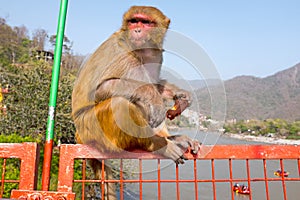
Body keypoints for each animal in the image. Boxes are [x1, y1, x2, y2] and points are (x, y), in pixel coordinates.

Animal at [72, 5, 200, 199]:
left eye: (145, 22)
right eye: (134, 21)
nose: (137, 30)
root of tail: (78, 135)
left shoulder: (157, 55)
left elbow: (156, 84)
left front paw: (179, 94)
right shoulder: (123, 54)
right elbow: (102, 88)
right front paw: (154, 97)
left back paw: (170, 138)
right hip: (92, 130)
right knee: (120, 103)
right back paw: (155, 144)